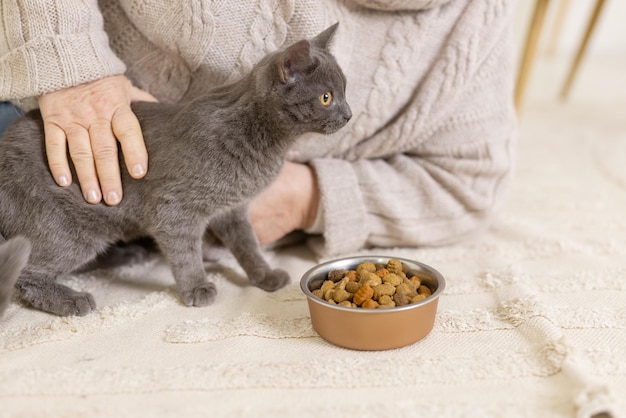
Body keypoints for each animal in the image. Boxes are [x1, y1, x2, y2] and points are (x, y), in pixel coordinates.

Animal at [0, 22, 352, 316]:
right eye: (326, 97)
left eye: (344, 92)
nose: (348, 114)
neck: (263, 141)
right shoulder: (175, 208)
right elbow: (185, 251)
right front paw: (197, 286)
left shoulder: (232, 210)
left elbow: (247, 244)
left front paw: (264, 274)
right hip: (69, 227)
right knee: (27, 274)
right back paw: (73, 300)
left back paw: (127, 256)